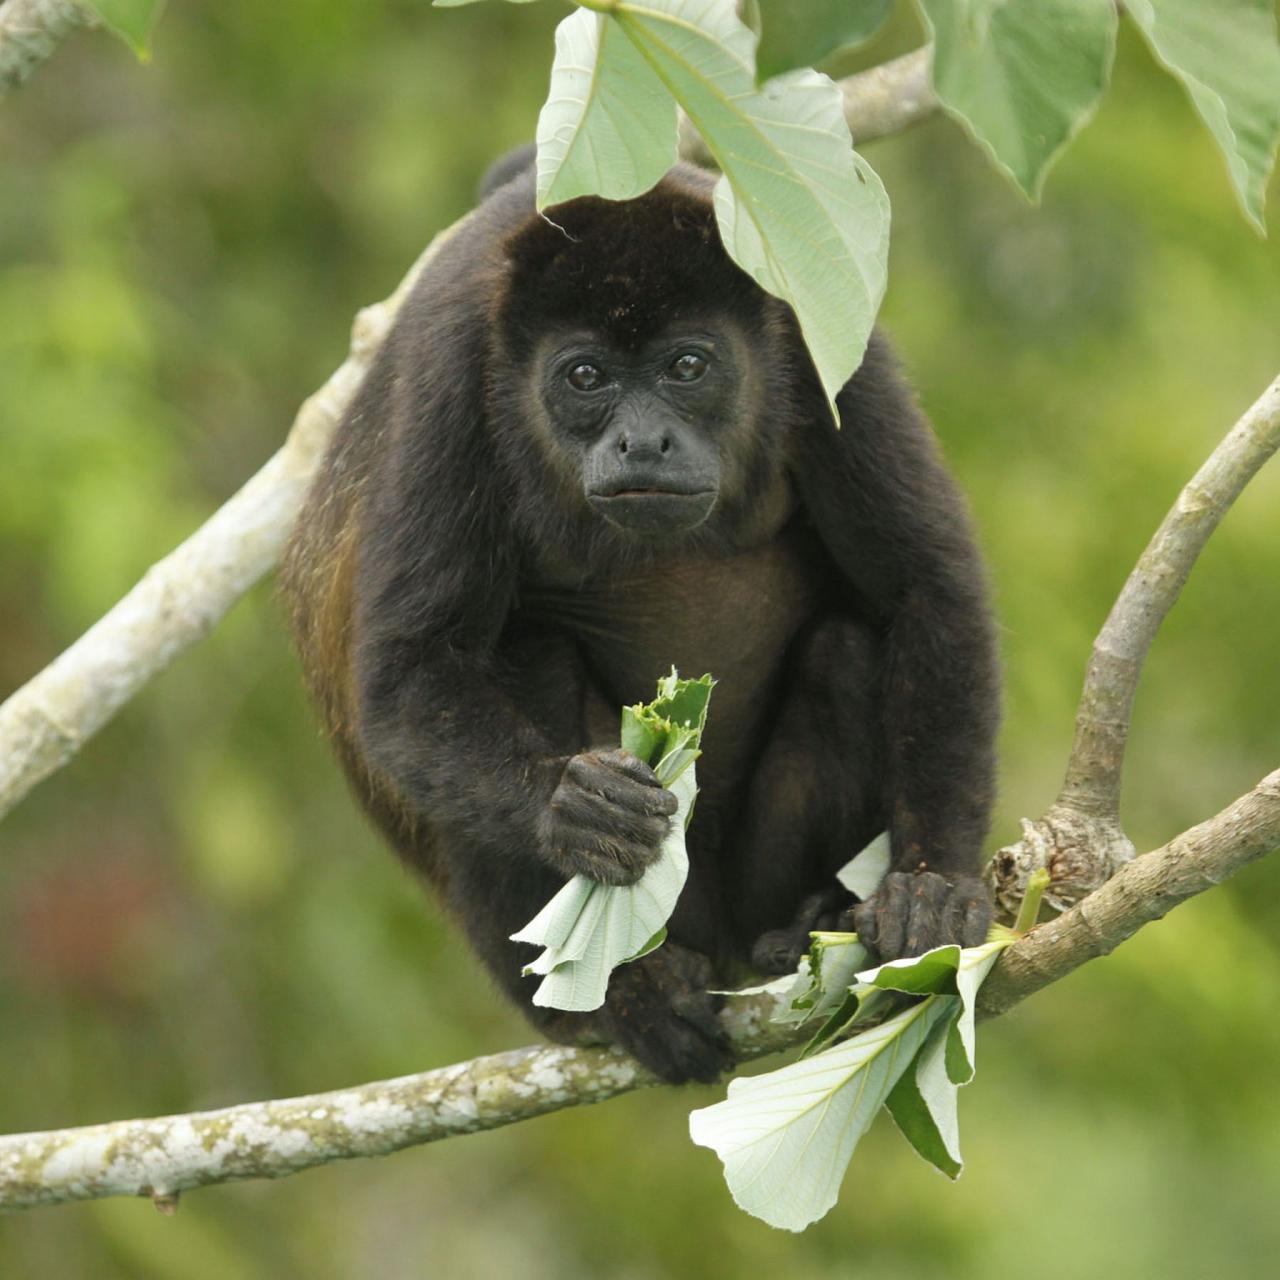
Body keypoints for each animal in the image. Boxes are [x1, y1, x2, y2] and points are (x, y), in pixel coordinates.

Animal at [280, 152, 998, 1090]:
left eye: (687, 366)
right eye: (585, 378)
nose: (644, 441)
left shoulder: (827, 343)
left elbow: (924, 587)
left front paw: (934, 884)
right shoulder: (449, 372)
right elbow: (411, 671)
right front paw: (572, 806)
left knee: (846, 651)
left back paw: (803, 926)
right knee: (528, 653)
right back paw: (622, 991)